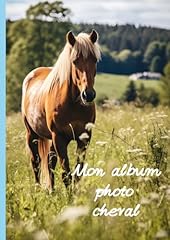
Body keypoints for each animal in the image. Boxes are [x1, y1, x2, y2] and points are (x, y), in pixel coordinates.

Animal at [21, 29, 101, 191]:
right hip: (31, 134)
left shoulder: (84, 138)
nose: (88, 95)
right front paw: (69, 195)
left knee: (49, 161)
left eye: (94, 60)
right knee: (36, 162)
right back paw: (38, 189)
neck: (73, 104)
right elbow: (66, 173)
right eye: (75, 61)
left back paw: (51, 190)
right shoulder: (59, 138)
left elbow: (77, 172)